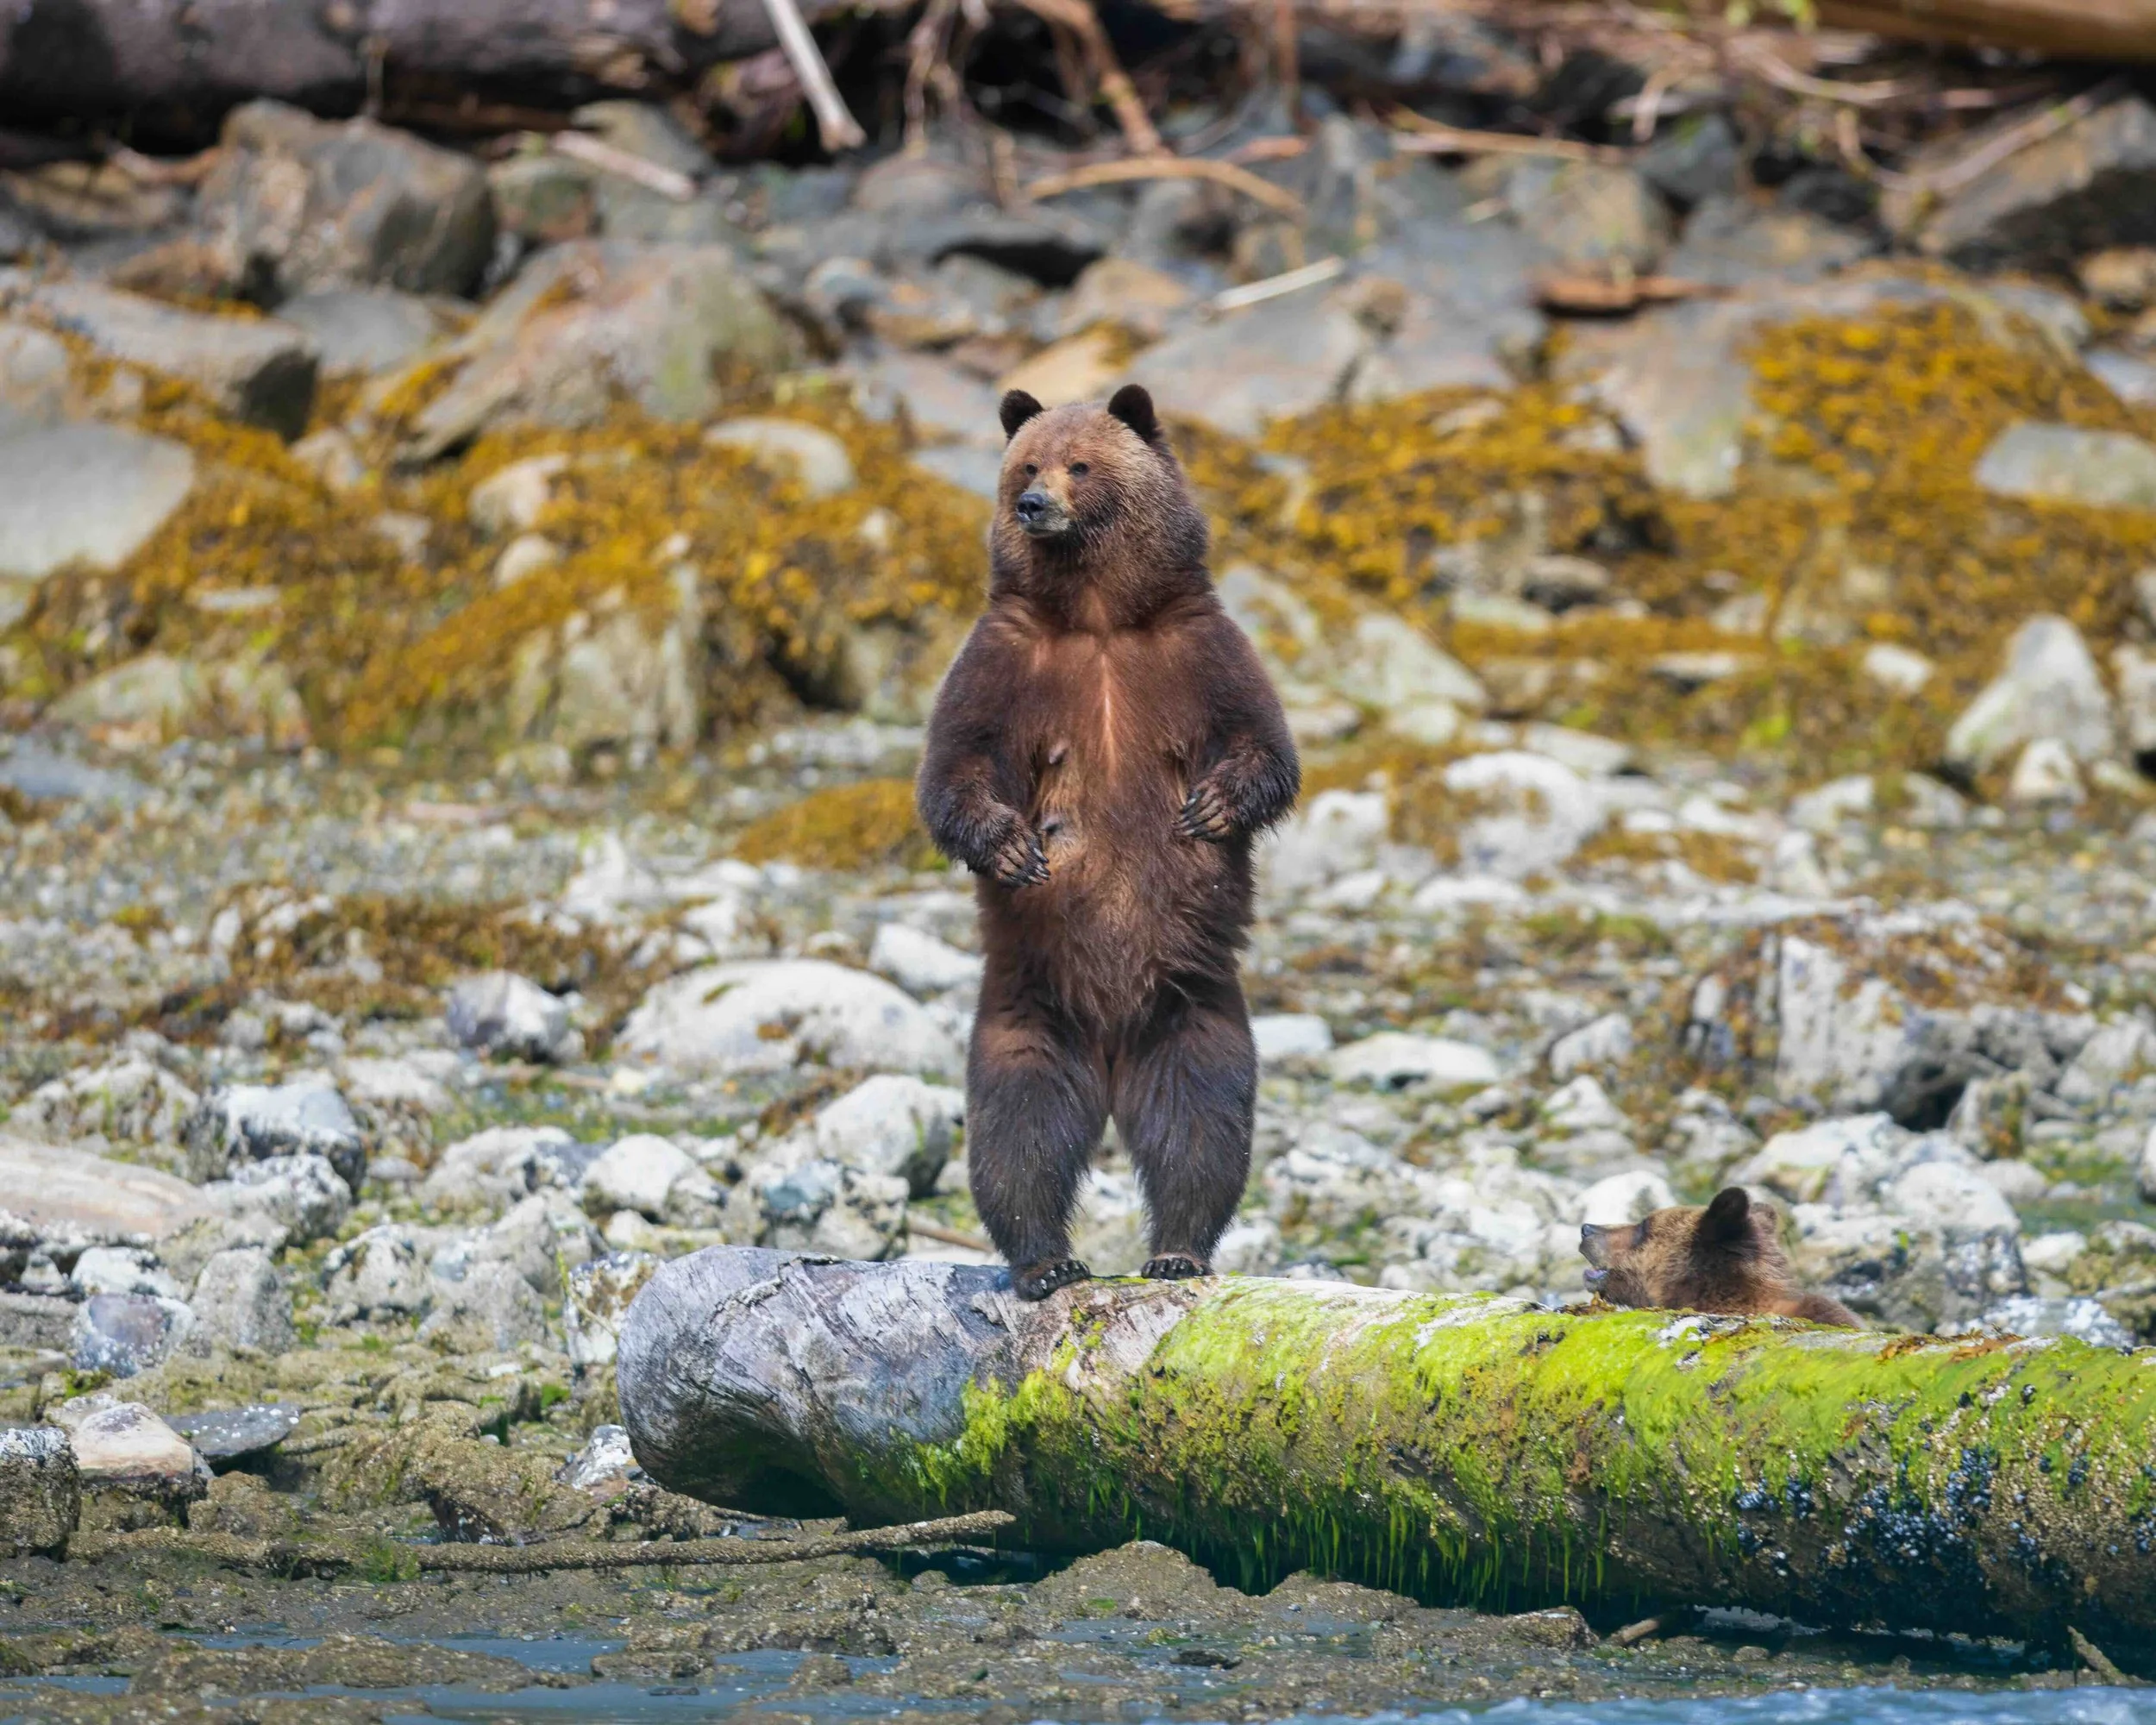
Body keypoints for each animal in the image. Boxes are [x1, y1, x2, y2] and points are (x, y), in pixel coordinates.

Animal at [915, 383, 1300, 1301]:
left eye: (1081, 464)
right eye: (1026, 462)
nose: (1034, 503)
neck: (1097, 617)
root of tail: (1114, 1057)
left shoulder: (1203, 652)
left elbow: (1266, 748)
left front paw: (1209, 809)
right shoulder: (1002, 663)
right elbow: (954, 770)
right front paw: (1014, 848)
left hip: (1195, 1012)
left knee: (1201, 1127)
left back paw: (1178, 1249)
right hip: (1027, 1010)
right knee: (1018, 1133)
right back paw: (1046, 1261)